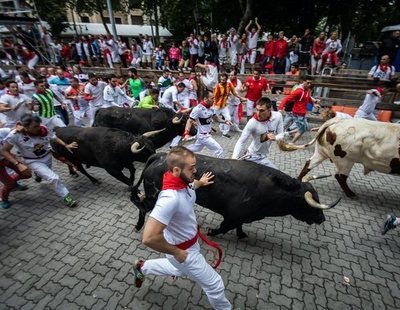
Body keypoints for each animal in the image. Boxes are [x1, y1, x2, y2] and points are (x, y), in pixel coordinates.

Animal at [131, 154, 340, 239]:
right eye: (309, 203)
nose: (321, 218)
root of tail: (160, 156)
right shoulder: (232, 216)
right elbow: (224, 227)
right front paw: (211, 232)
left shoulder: (242, 217)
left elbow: (239, 226)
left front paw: (241, 234)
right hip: (154, 196)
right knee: (141, 206)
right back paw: (139, 226)